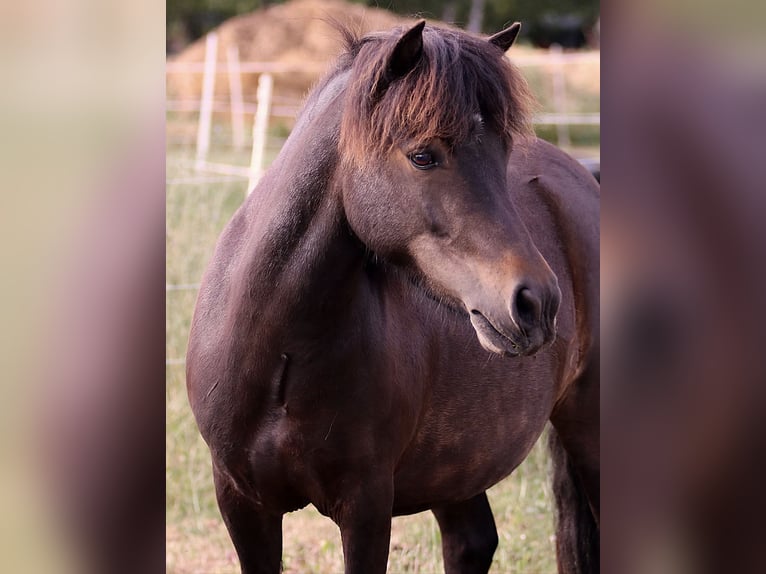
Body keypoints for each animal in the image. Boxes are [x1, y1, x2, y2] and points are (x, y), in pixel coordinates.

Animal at [186, 21, 599, 574]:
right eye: (423, 155)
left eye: (503, 153)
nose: (537, 304)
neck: (278, 355)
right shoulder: (241, 503)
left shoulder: (366, 509)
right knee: (472, 540)